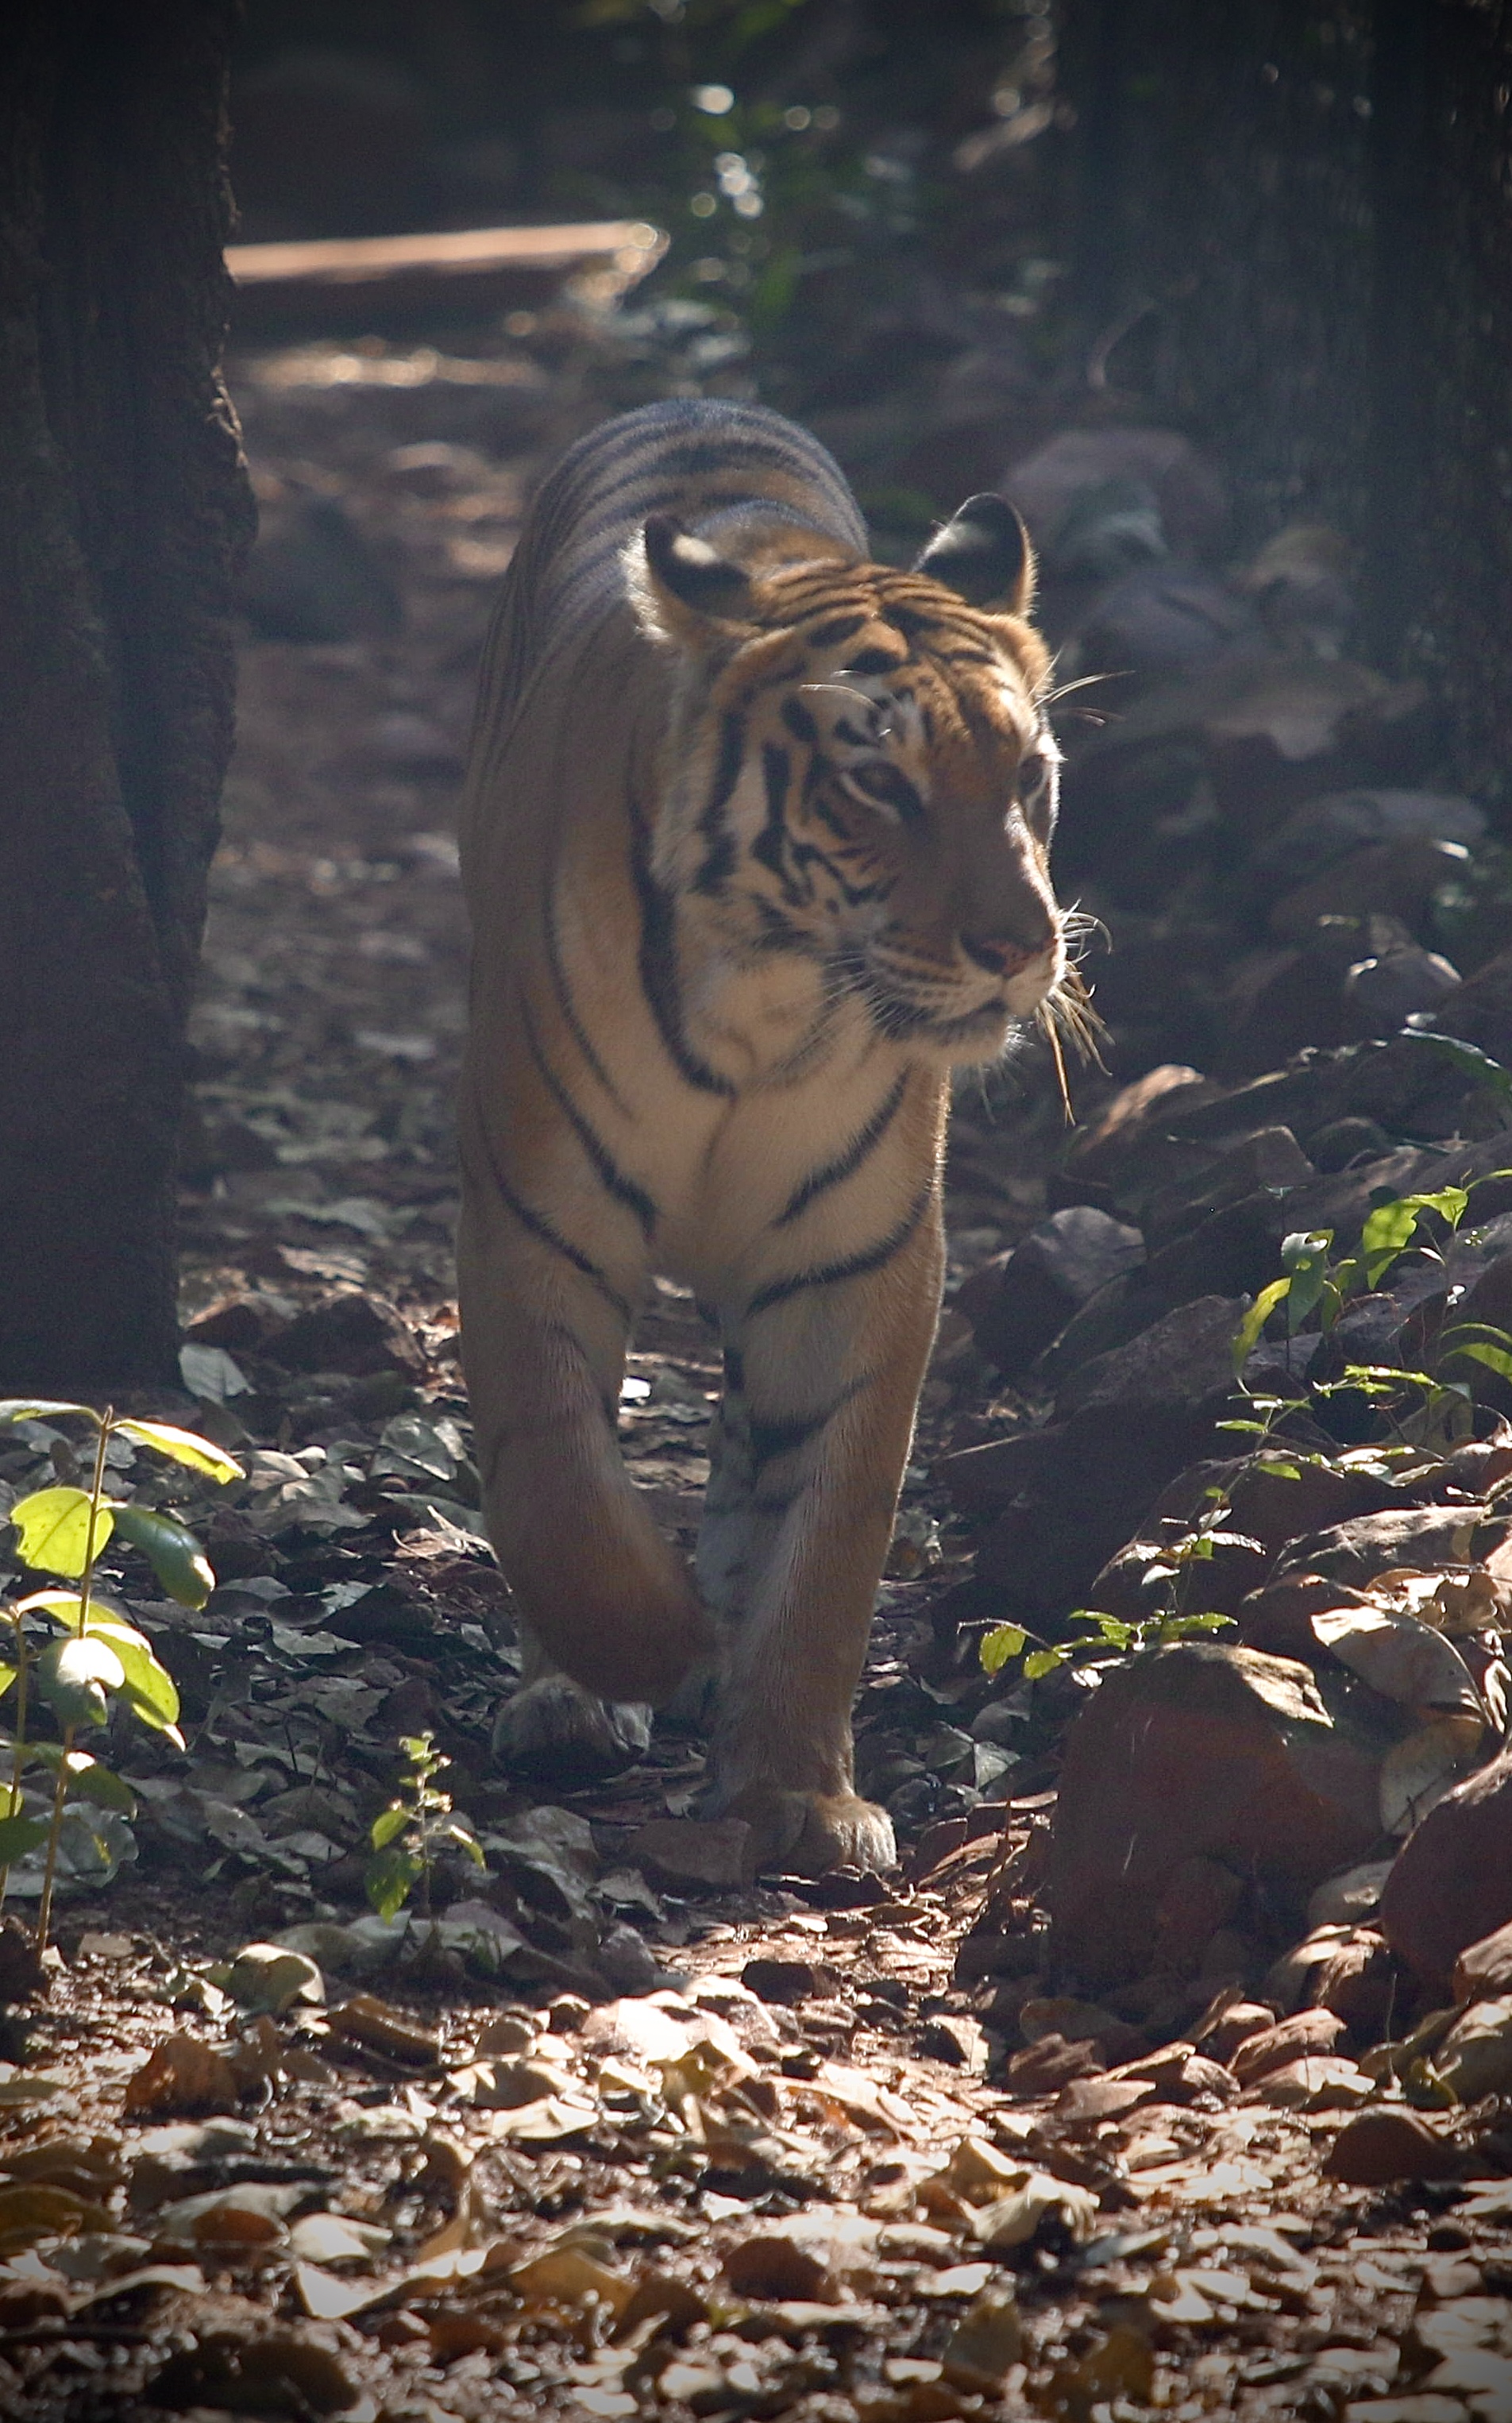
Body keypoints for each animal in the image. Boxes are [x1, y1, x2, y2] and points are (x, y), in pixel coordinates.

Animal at [457, 396, 1066, 1879]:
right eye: (880, 783)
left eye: (1025, 775)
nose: (1023, 947)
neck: (768, 1006)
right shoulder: (533, 1220)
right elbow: (555, 1482)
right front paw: (645, 1642)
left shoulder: (857, 1258)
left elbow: (826, 1536)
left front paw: (796, 1788)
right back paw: (579, 1692)